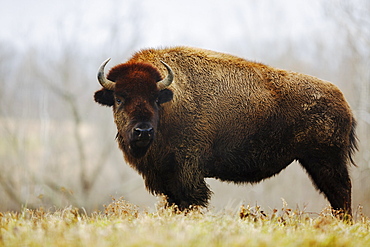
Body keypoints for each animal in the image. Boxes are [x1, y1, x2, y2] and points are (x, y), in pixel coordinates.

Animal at [94, 47, 356, 215]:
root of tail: (343, 101)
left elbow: (188, 201)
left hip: (326, 161)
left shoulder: (187, 171)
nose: (143, 131)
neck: (171, 102)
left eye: (155, 99)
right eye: (119, 98)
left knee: (341, 192)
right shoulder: (165, 175)